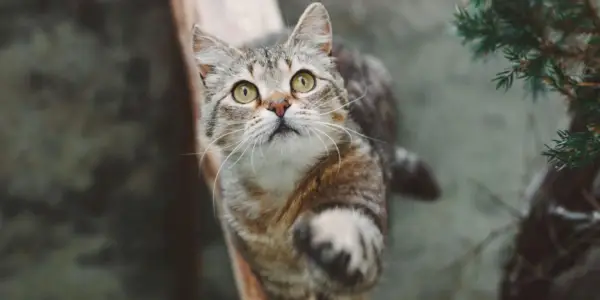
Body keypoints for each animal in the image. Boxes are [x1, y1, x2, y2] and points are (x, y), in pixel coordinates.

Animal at [193, 2, 440, 300]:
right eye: (244, 91)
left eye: (303, 81)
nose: (279, 104)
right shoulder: (278, 280)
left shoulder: (364, 201)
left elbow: (356, 240)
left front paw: (326, 233)